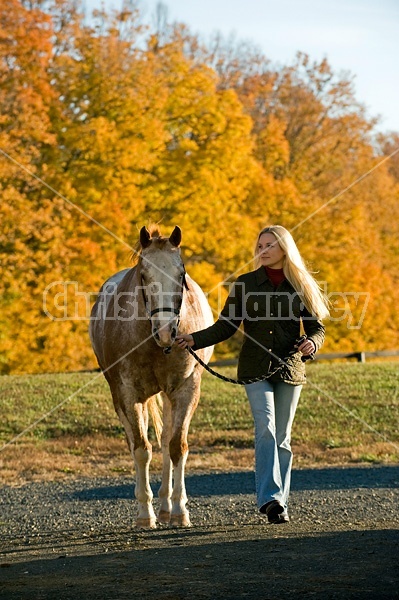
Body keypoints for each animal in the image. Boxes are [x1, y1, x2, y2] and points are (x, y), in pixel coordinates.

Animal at [89, 226, 214, 528]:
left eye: (181, 274)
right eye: (144, 275)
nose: (167, 331)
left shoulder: (185, 390)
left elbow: (176, 446)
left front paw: (179, 510)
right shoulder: (128, 395)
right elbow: (141, 449)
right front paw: (145, 513)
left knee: (166, 439)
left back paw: (167, 506)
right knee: (136, 442)